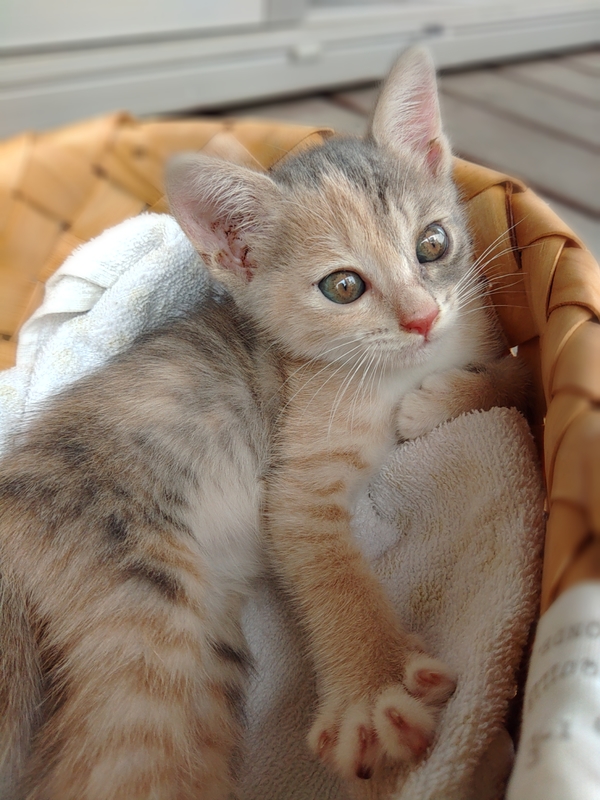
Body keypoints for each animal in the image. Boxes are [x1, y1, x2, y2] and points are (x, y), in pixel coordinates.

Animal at [0, 47, 527, 800]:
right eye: (343, 286)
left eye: (433, 243)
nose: (423, 317)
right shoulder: (298, 480)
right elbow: (331, 571)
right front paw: (373, 682)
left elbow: (520, 375)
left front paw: (444, 395)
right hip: (149, 610)